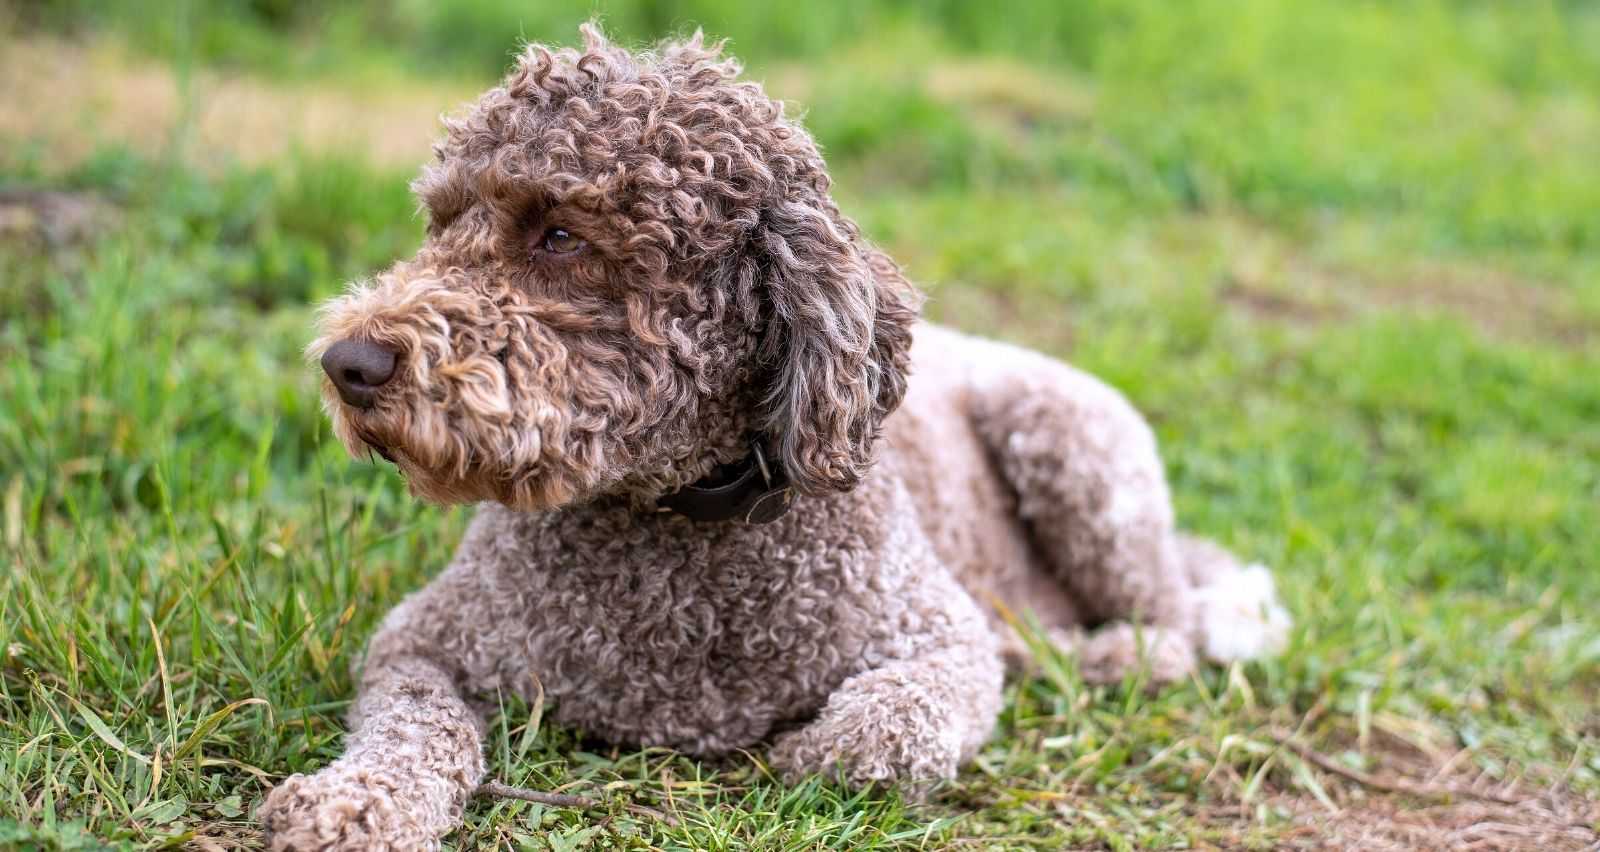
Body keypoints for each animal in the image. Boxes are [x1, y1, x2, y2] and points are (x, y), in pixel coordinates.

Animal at [259, 26, 1286, 852]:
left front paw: (801, 745)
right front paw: (351, 803)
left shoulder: (939, 642)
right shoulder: (423, 639)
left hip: (1077, 452)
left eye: (559, 234)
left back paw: (1090, 652)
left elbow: (876, 735)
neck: (675, 518)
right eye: (439, 221)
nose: (349, 363)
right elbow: (413, 728)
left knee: (1172, 628)